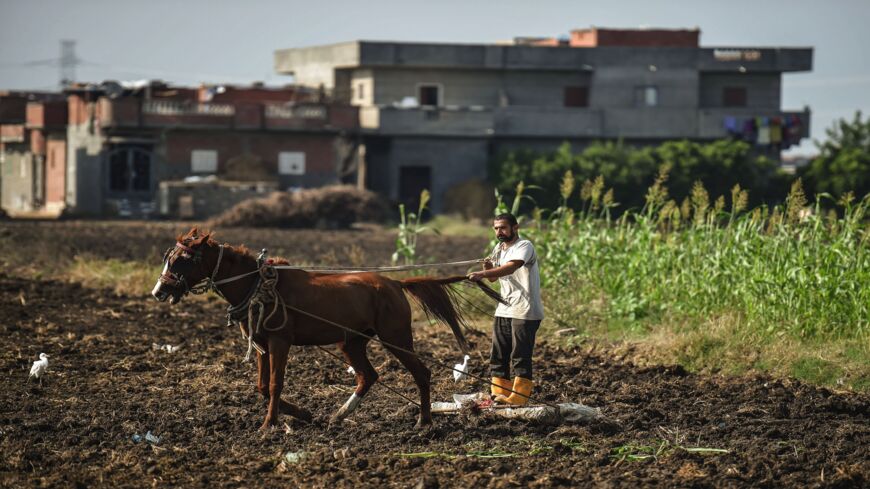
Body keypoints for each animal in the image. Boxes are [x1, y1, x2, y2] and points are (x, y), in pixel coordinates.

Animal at [153, 228, 500, 428]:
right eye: (168, 256)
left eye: (183, 258)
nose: (159, 291)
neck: (258, 286)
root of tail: (395, 283)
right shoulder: (262, 343)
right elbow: (263, 387)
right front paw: (302, 415)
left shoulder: (280, 342)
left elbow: (275, 385)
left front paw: (268, 426)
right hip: (351, 342)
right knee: (368, 376)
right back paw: (340, 414)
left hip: (396, 337)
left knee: (421, 373)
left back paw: (424, 423)